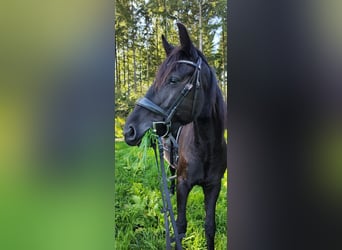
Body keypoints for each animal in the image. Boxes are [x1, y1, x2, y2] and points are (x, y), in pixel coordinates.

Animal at [123, 22, 227, 249]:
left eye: (173, 80)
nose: (129, 130)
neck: (206, 147)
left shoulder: (214, 186)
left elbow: (210, 227)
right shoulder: (182, 184)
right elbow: (179, 226)